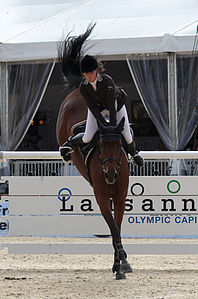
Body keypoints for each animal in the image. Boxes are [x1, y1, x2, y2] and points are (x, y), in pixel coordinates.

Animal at [55, 24, 132, 280]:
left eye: (119, 146)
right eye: (101, 147)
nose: (110, 175)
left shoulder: (120, 195)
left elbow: (118, 225)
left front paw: (122, 263)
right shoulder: (101, 196)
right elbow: (113, 228)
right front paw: (120, 264)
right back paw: (67, 146)